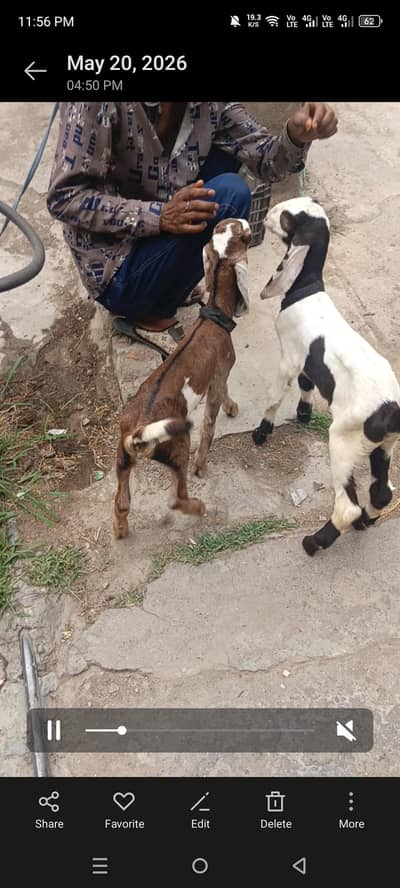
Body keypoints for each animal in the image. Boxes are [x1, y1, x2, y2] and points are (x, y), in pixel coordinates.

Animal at [113, 217, 251, 538]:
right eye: (247, 235)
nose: (246, 221)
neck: (214, 315)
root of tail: (138, 432)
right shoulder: (220, 372)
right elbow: (211, 421)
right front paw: (202, 464)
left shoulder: (217, 376)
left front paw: (232, 407)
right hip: (177, 444)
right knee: (176, 498)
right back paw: (199, 507)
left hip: (122, 458)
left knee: (122, 500)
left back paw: (121, 530)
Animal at [252, 196, 400, 555]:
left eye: (288, 218)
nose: (268, 214)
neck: (306, 289)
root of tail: (390, 412)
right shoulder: (305, 360)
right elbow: (307, 381)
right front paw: (304, 413)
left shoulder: (289, 357)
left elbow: (276, 395)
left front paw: (262, 432)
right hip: (384, 445)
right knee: (381, 493)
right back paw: (364, 523)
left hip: (345, 440)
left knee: (347, 506)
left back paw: (314, 542)